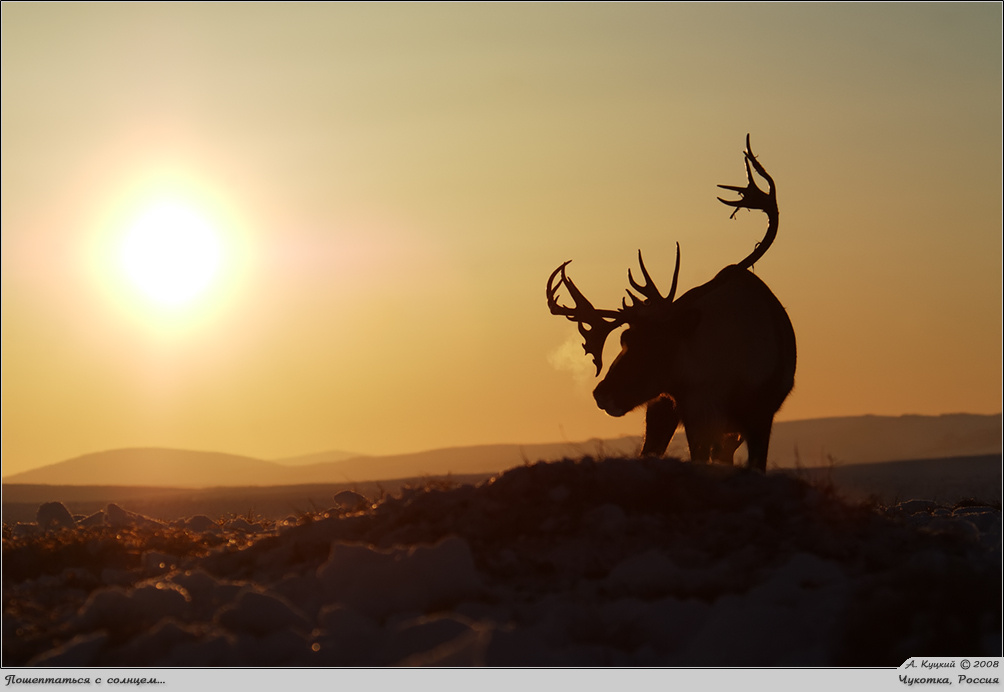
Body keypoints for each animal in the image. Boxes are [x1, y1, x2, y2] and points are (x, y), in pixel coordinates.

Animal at [546, 136, 795, 471]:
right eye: (624, 338)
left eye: (656, 345)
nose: (601, 393)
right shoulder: (692, 412)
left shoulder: (759, 415)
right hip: (663, 407)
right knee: (652, 449)